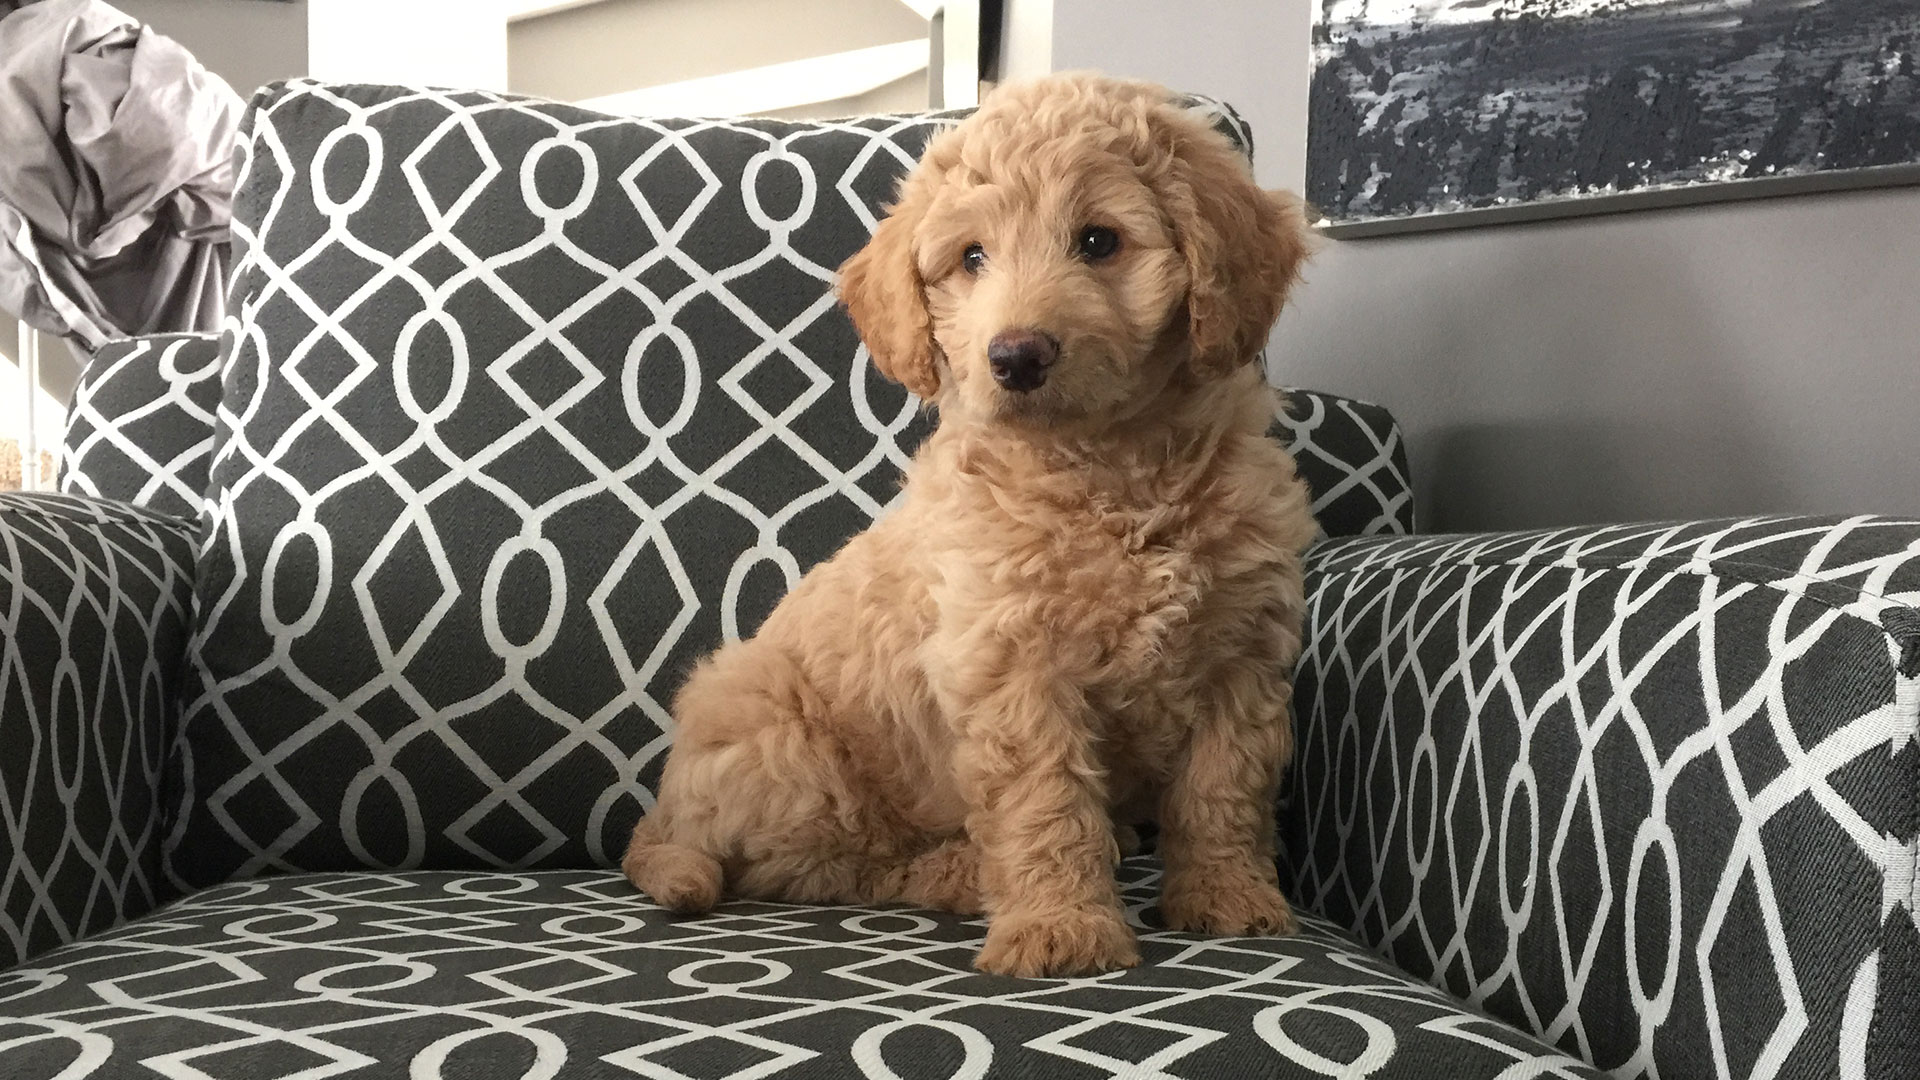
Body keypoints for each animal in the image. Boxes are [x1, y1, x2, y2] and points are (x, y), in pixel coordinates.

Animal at [629, 71, 1320, 972]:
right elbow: (1045, 800)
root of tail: (665, 816)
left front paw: (1228, 897)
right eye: (972, 258)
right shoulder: (1013, 666)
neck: (1113, 471)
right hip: (780, 738)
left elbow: (1223, 788)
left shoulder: (1241, 657)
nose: (1017, 355)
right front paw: (1062, 927)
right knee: (824, 866)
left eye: (1098, 241)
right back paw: (956, 872)